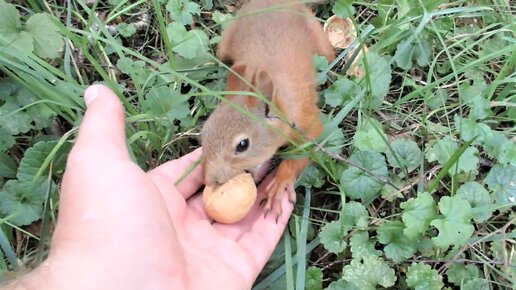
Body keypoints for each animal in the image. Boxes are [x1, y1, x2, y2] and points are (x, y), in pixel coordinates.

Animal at [202, 0, 334, 218]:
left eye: (242, 145)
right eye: (204, 133)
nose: (209, 180)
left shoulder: (307, 121)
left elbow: (304, 150)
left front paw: (281, 182)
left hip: (321, 41)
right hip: (226, 41)